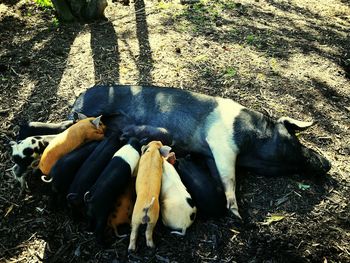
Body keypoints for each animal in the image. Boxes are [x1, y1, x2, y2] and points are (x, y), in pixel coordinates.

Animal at [70, 85, 330, 219]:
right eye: (294, 140)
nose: (327, 163)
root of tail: (79, 95)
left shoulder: (210, 155)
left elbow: (220, 178)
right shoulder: (222, 145)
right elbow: (230, 177)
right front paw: (237, 214)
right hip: (92, 109)